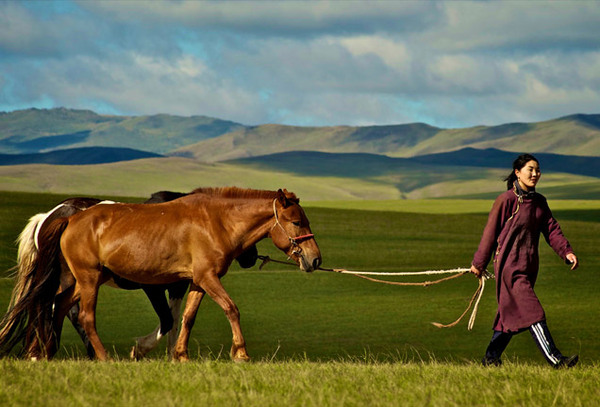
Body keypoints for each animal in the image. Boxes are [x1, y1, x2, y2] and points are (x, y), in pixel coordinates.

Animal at [5, 186, 324, 362]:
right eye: (296, 222)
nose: (315, 259)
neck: (215, 222)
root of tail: (69, 218)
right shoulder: (203, 279)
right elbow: (230, 309)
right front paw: (241, 353)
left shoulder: (196, 281)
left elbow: (186, 318)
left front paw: (180, 355)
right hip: (88, 279)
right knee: (81, 315)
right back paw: (102, 357)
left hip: (81, 280)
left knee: (57, 306)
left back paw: (46, 352)